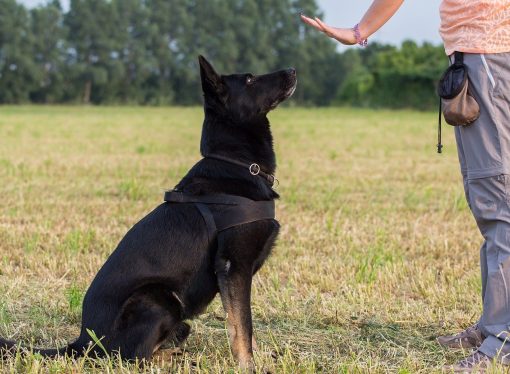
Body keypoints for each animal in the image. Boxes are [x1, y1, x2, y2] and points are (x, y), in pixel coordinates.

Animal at [0, 57, 296, 370]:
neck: (237, 163)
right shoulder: (234, 267)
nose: (292, 70)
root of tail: (83, 342)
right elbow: (243, 324)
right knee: (133, 358)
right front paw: (248, 365)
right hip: (159, 299)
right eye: (250, 80)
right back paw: (174, 358)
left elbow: (243, 325)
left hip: (176, 316)